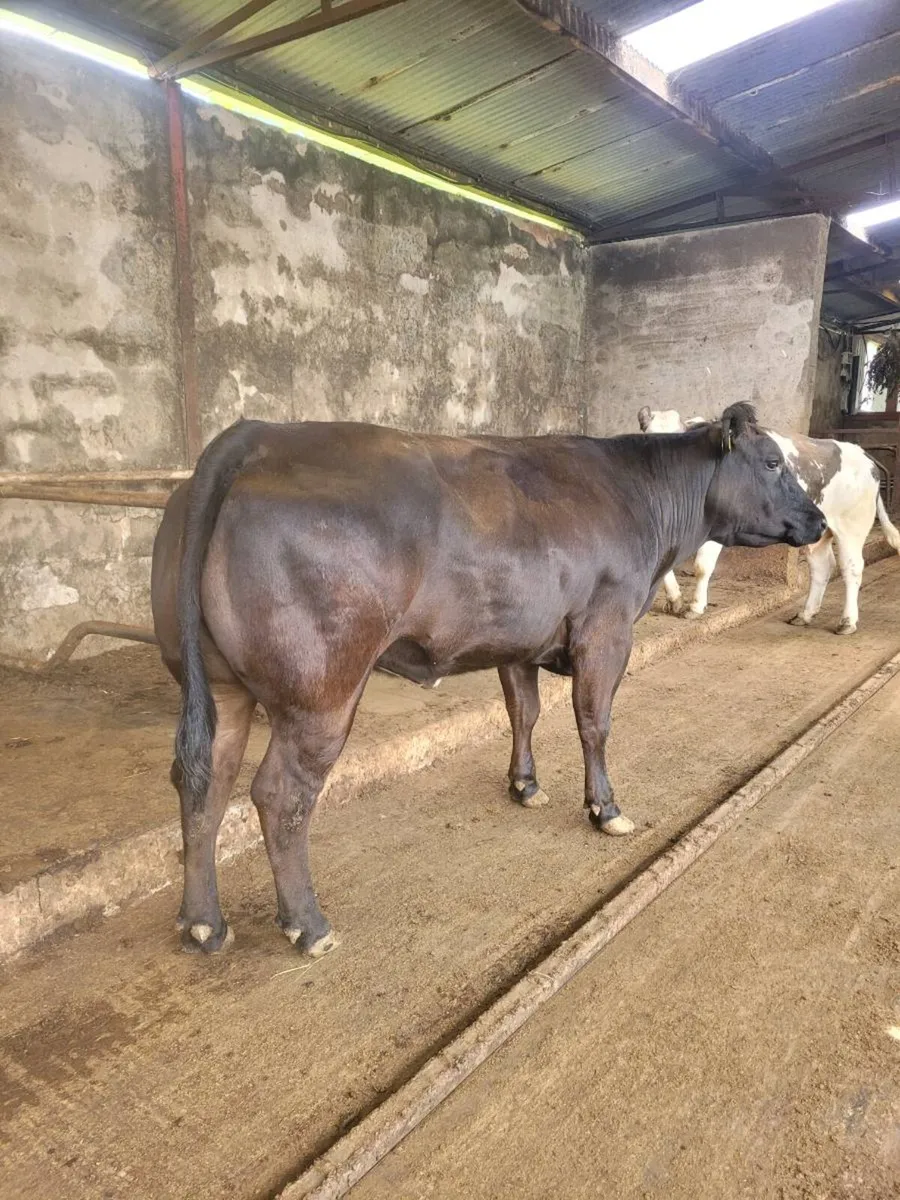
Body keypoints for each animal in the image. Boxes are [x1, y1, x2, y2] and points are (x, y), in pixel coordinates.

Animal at [151, 404, 825, 957]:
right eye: (772, 462)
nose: (818, 520)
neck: (644, 499)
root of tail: (253, 435)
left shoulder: (519, 638)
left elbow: (523, 712)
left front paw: (524, 786)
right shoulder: (606, 631)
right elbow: (594, 723)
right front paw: (605, 809)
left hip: (220, 686)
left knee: (203, 780)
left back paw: (203, 924)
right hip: (321, 691)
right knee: (279, 794)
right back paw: (308, 925)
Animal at [638, 406, 900, 631]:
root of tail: (863, 454)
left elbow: (702, 566)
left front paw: (695, 607)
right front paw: (675, 600)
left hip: (852, 525)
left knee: (852, 568)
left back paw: (847, 621)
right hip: (818, 531)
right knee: (823, 567)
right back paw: (805, 615)